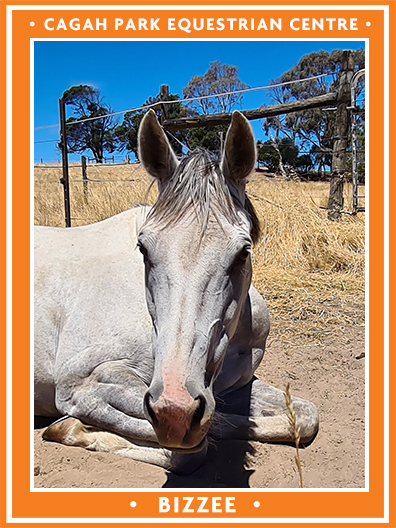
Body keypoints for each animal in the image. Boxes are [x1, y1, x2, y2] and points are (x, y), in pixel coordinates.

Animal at [34, 110, 318, 474]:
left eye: (243, 252)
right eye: (143, 248)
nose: (175, 410)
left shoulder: (233, 389)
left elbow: (304, 417)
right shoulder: (80, 384)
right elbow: (193, 447)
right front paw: (70, 427)